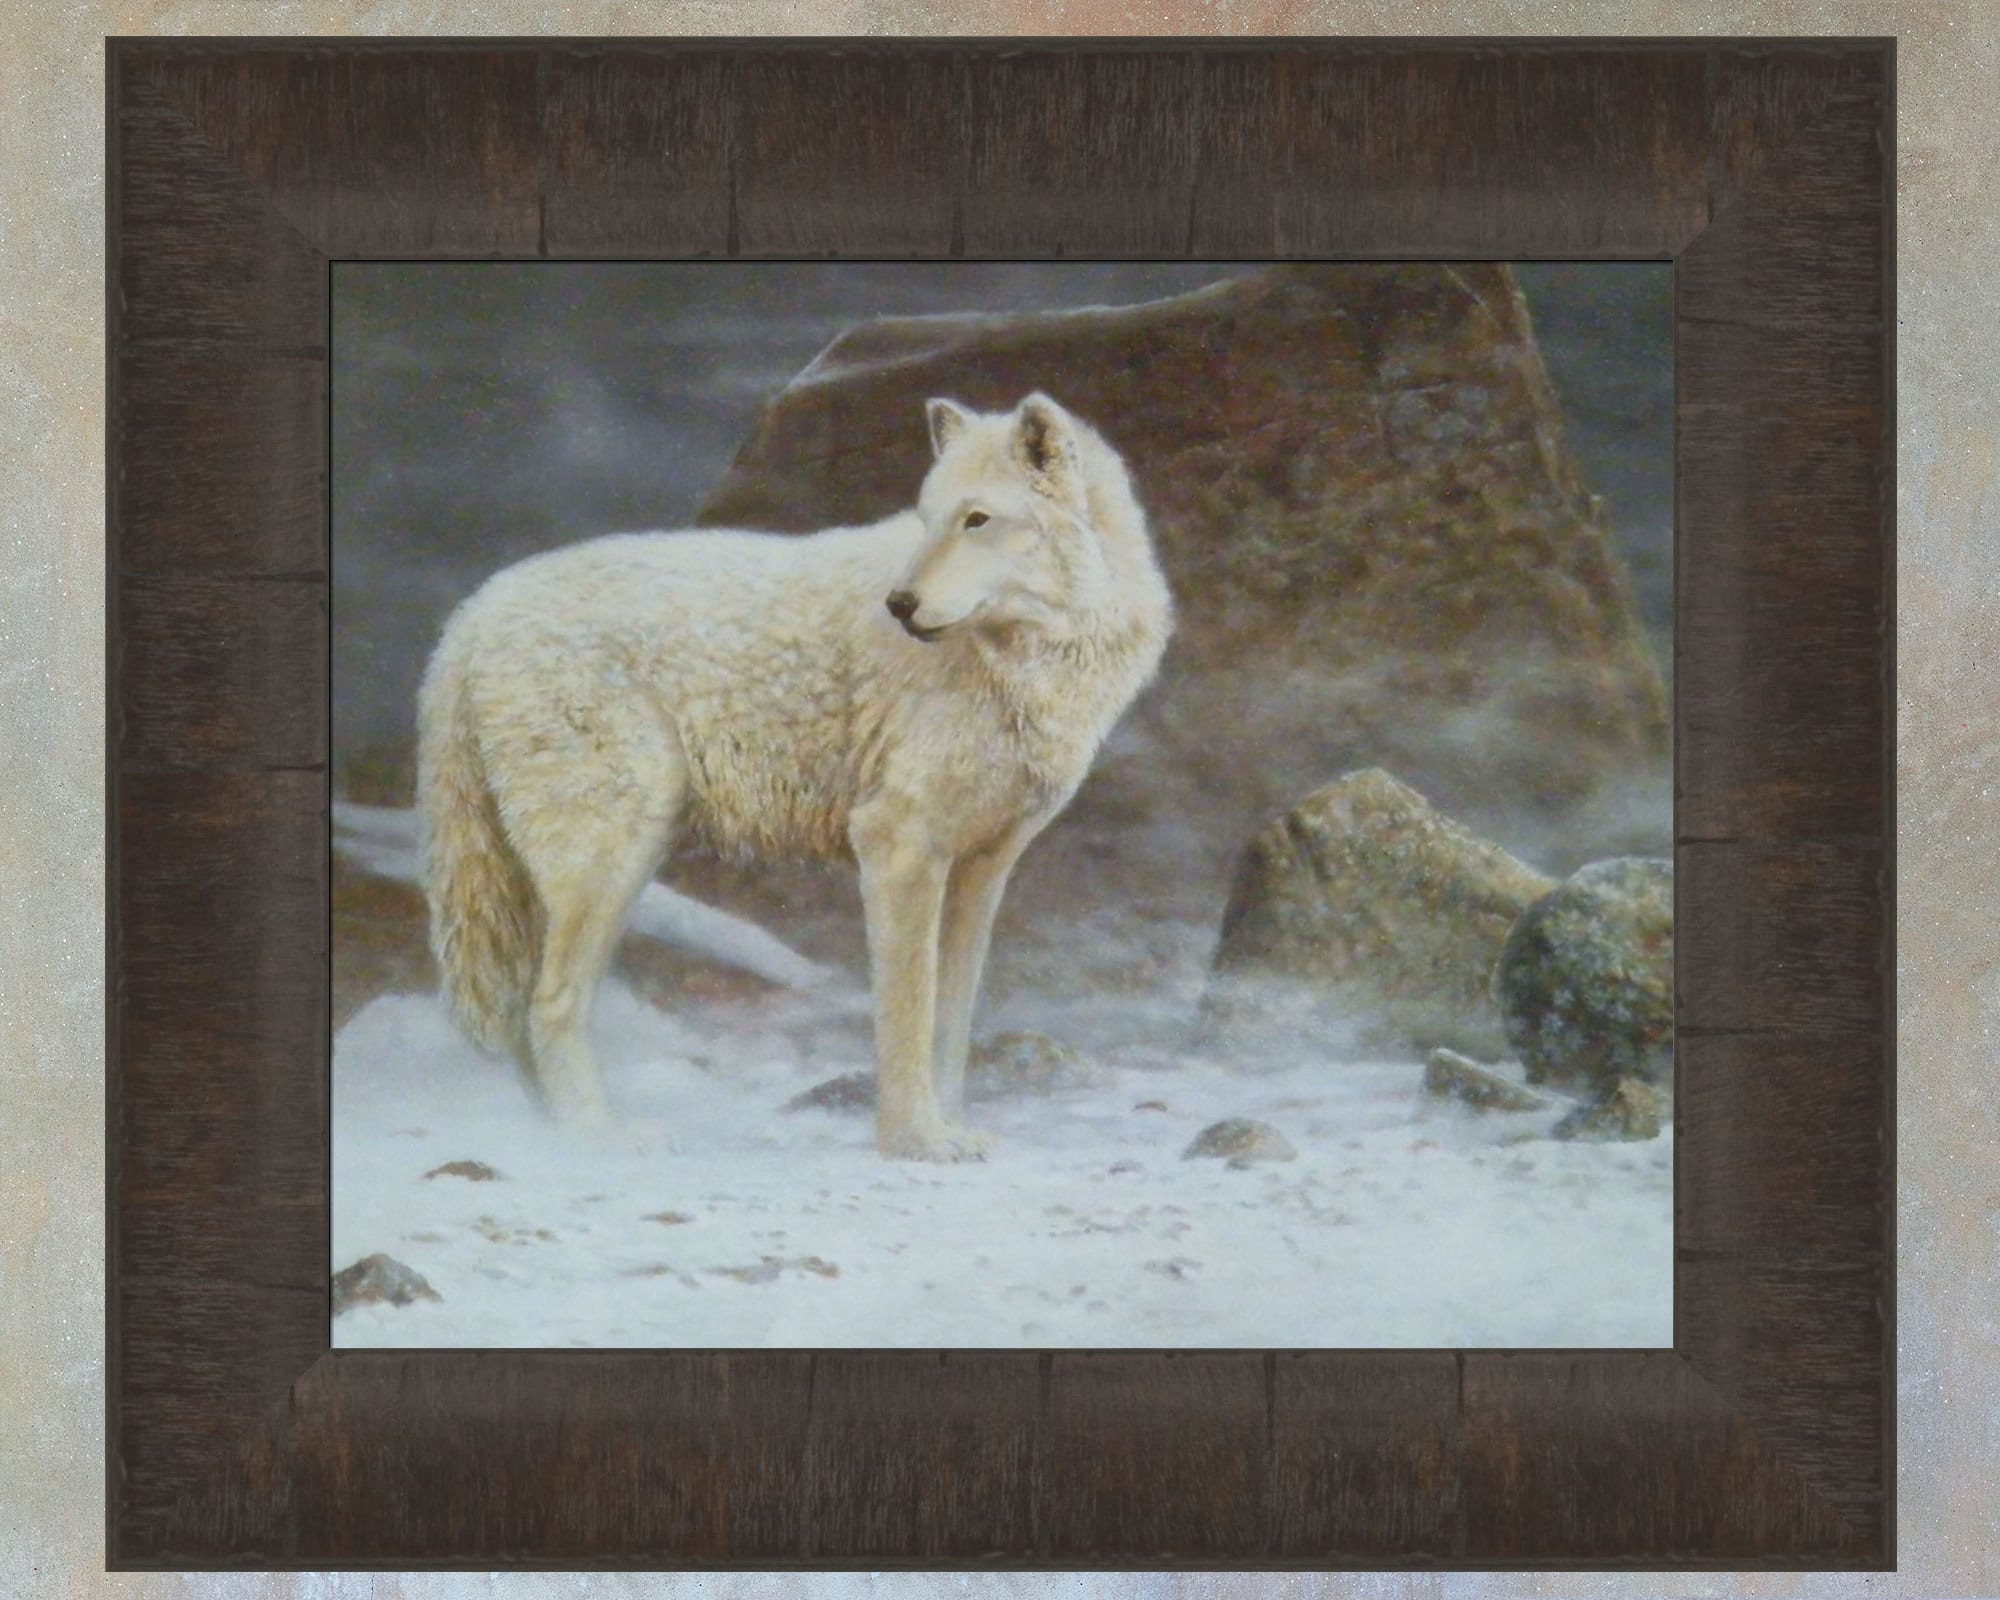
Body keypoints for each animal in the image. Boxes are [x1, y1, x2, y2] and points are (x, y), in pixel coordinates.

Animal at [415, 391, 1174, 1161]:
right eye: (928, 518)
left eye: (976, 520)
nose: (900, 606)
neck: (1022, 661)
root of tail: (470, 616)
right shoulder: (897, 847)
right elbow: (908, 1011)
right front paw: (914, 1140)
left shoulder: (981, 868)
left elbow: (952, 1018)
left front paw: (950, 1128)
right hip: (613, 858)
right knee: (550, 1005)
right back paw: (597, 1137)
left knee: (521, 1007)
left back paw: (544, 1137)